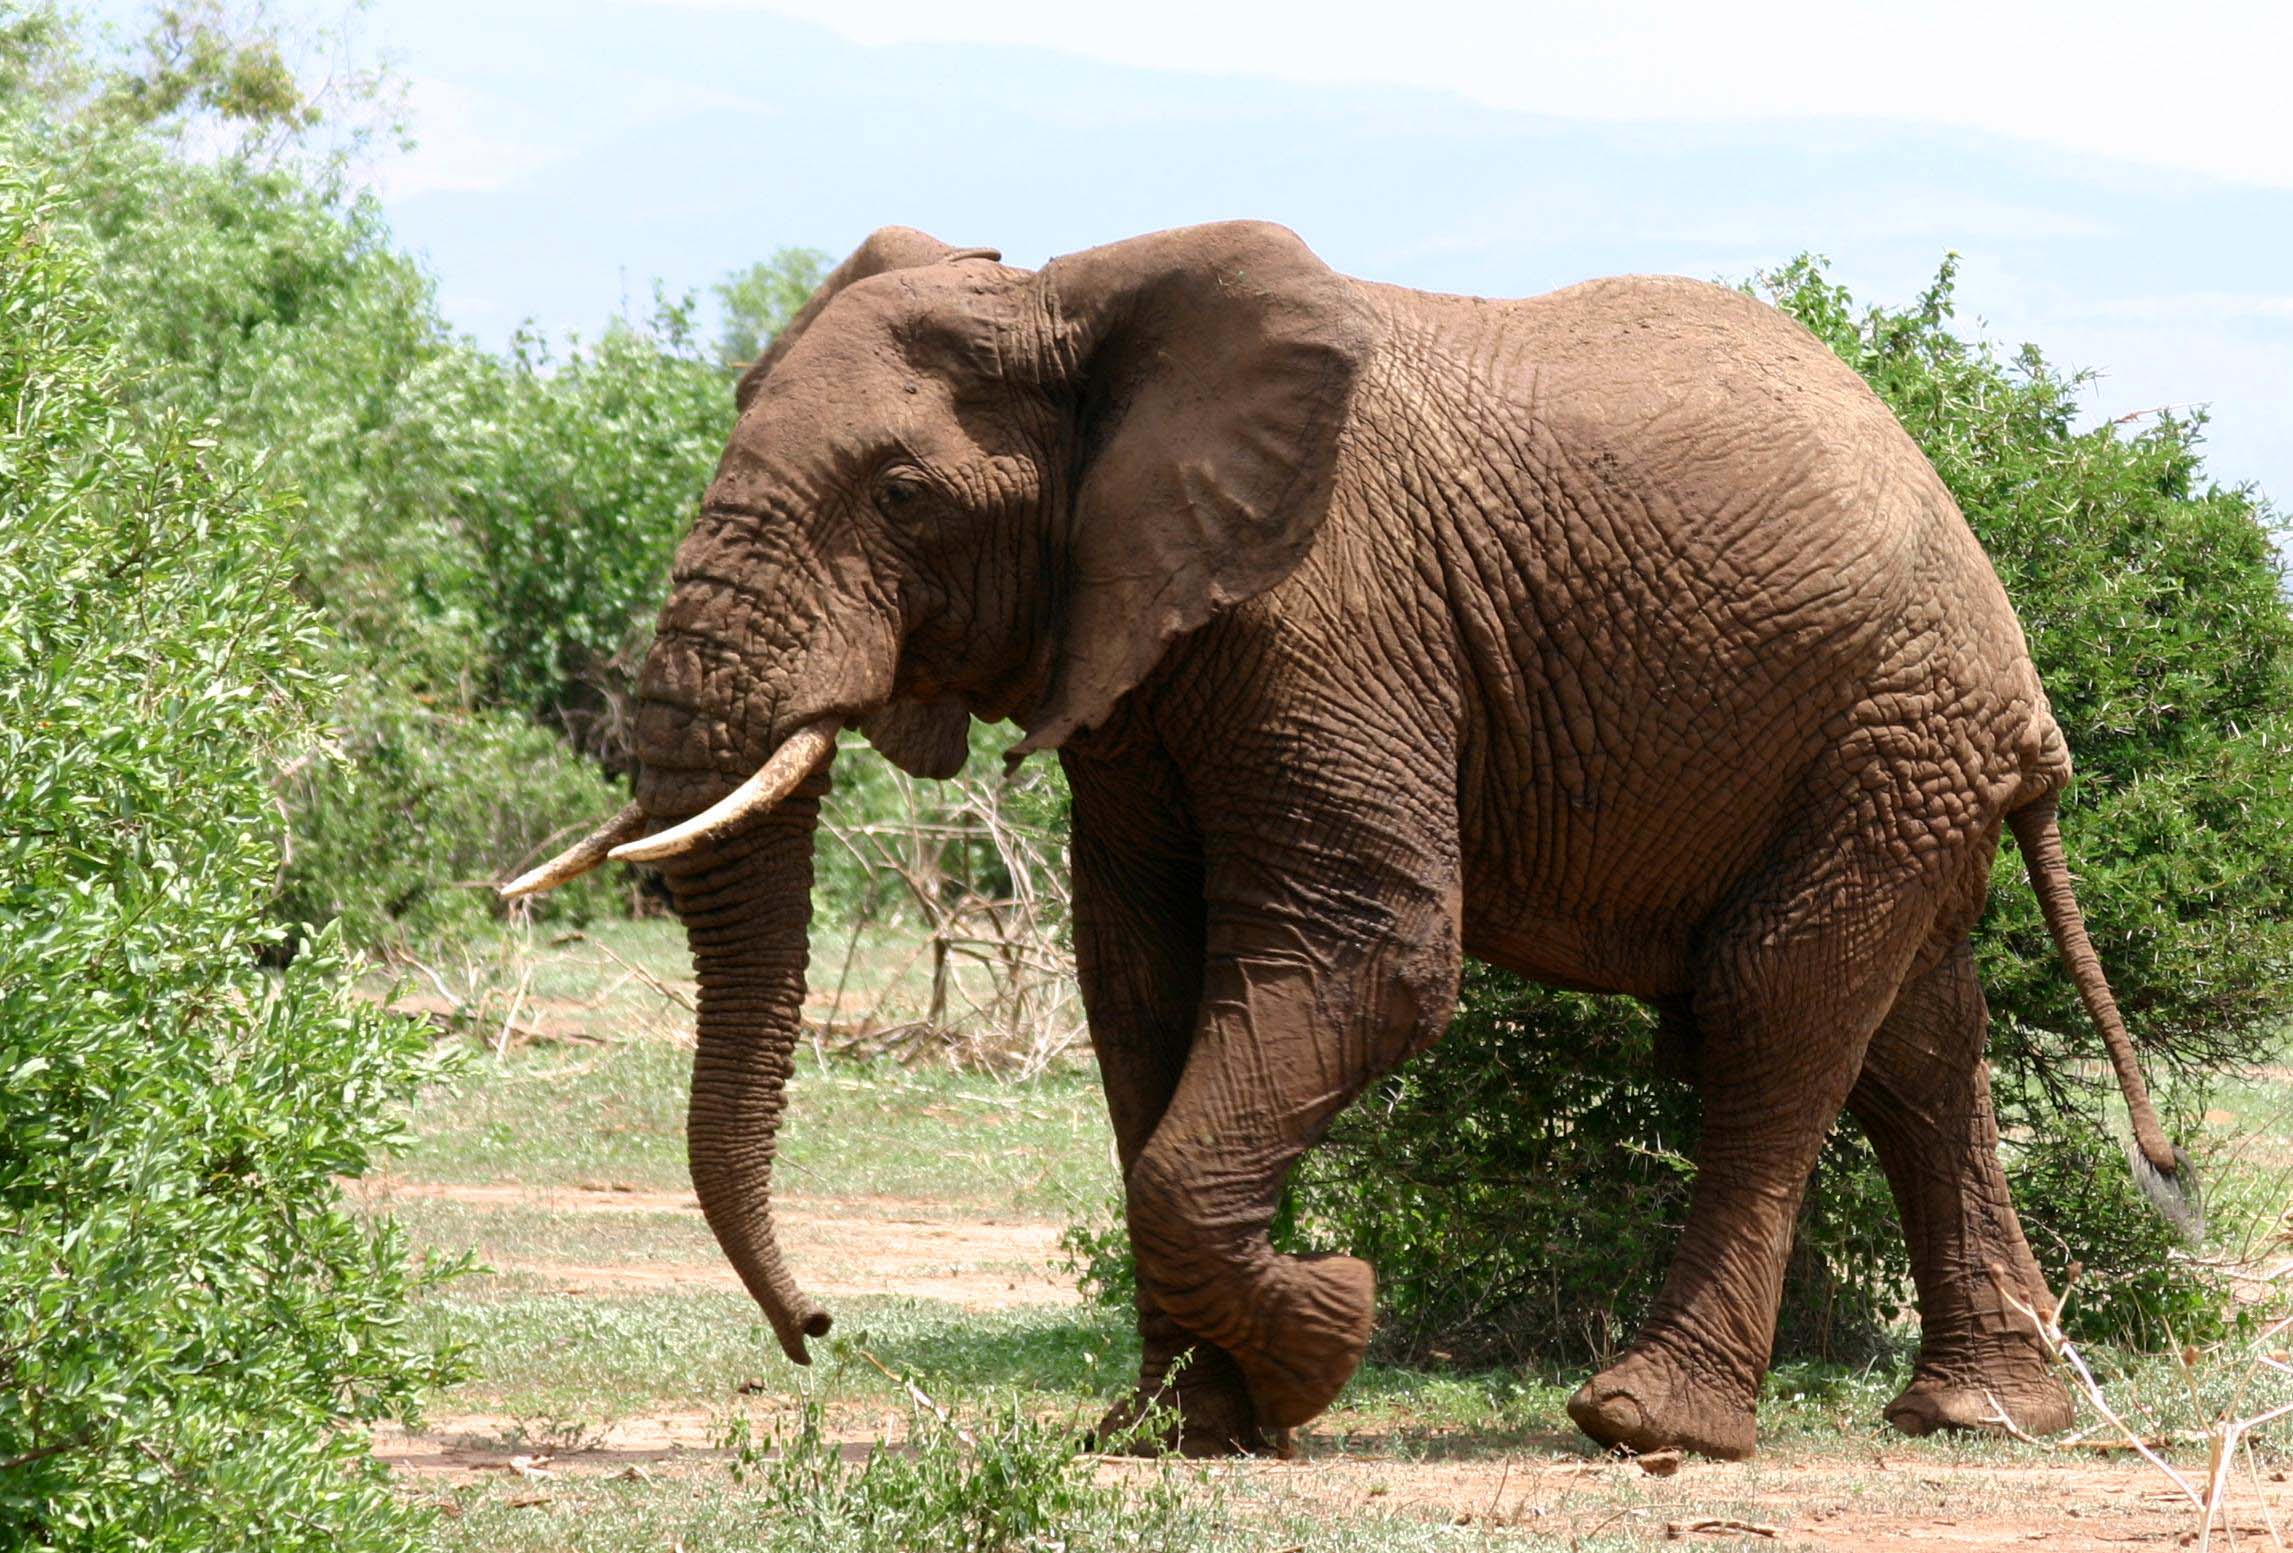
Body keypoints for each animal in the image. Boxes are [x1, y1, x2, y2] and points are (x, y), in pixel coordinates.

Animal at [501, 220, 2192, 1462]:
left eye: (902, 494)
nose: (817, 1332)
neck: (1071, 294)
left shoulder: (1329, 607)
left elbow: (1364, 952)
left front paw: (1323, 1332)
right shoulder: (1136, 649)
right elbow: (1139, 982)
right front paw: (1178, 1427)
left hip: (1891, 719)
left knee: (1772, 1009)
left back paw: (1646, 1425)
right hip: (1895, 752)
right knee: (1915, 1039)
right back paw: (1978, 1414)